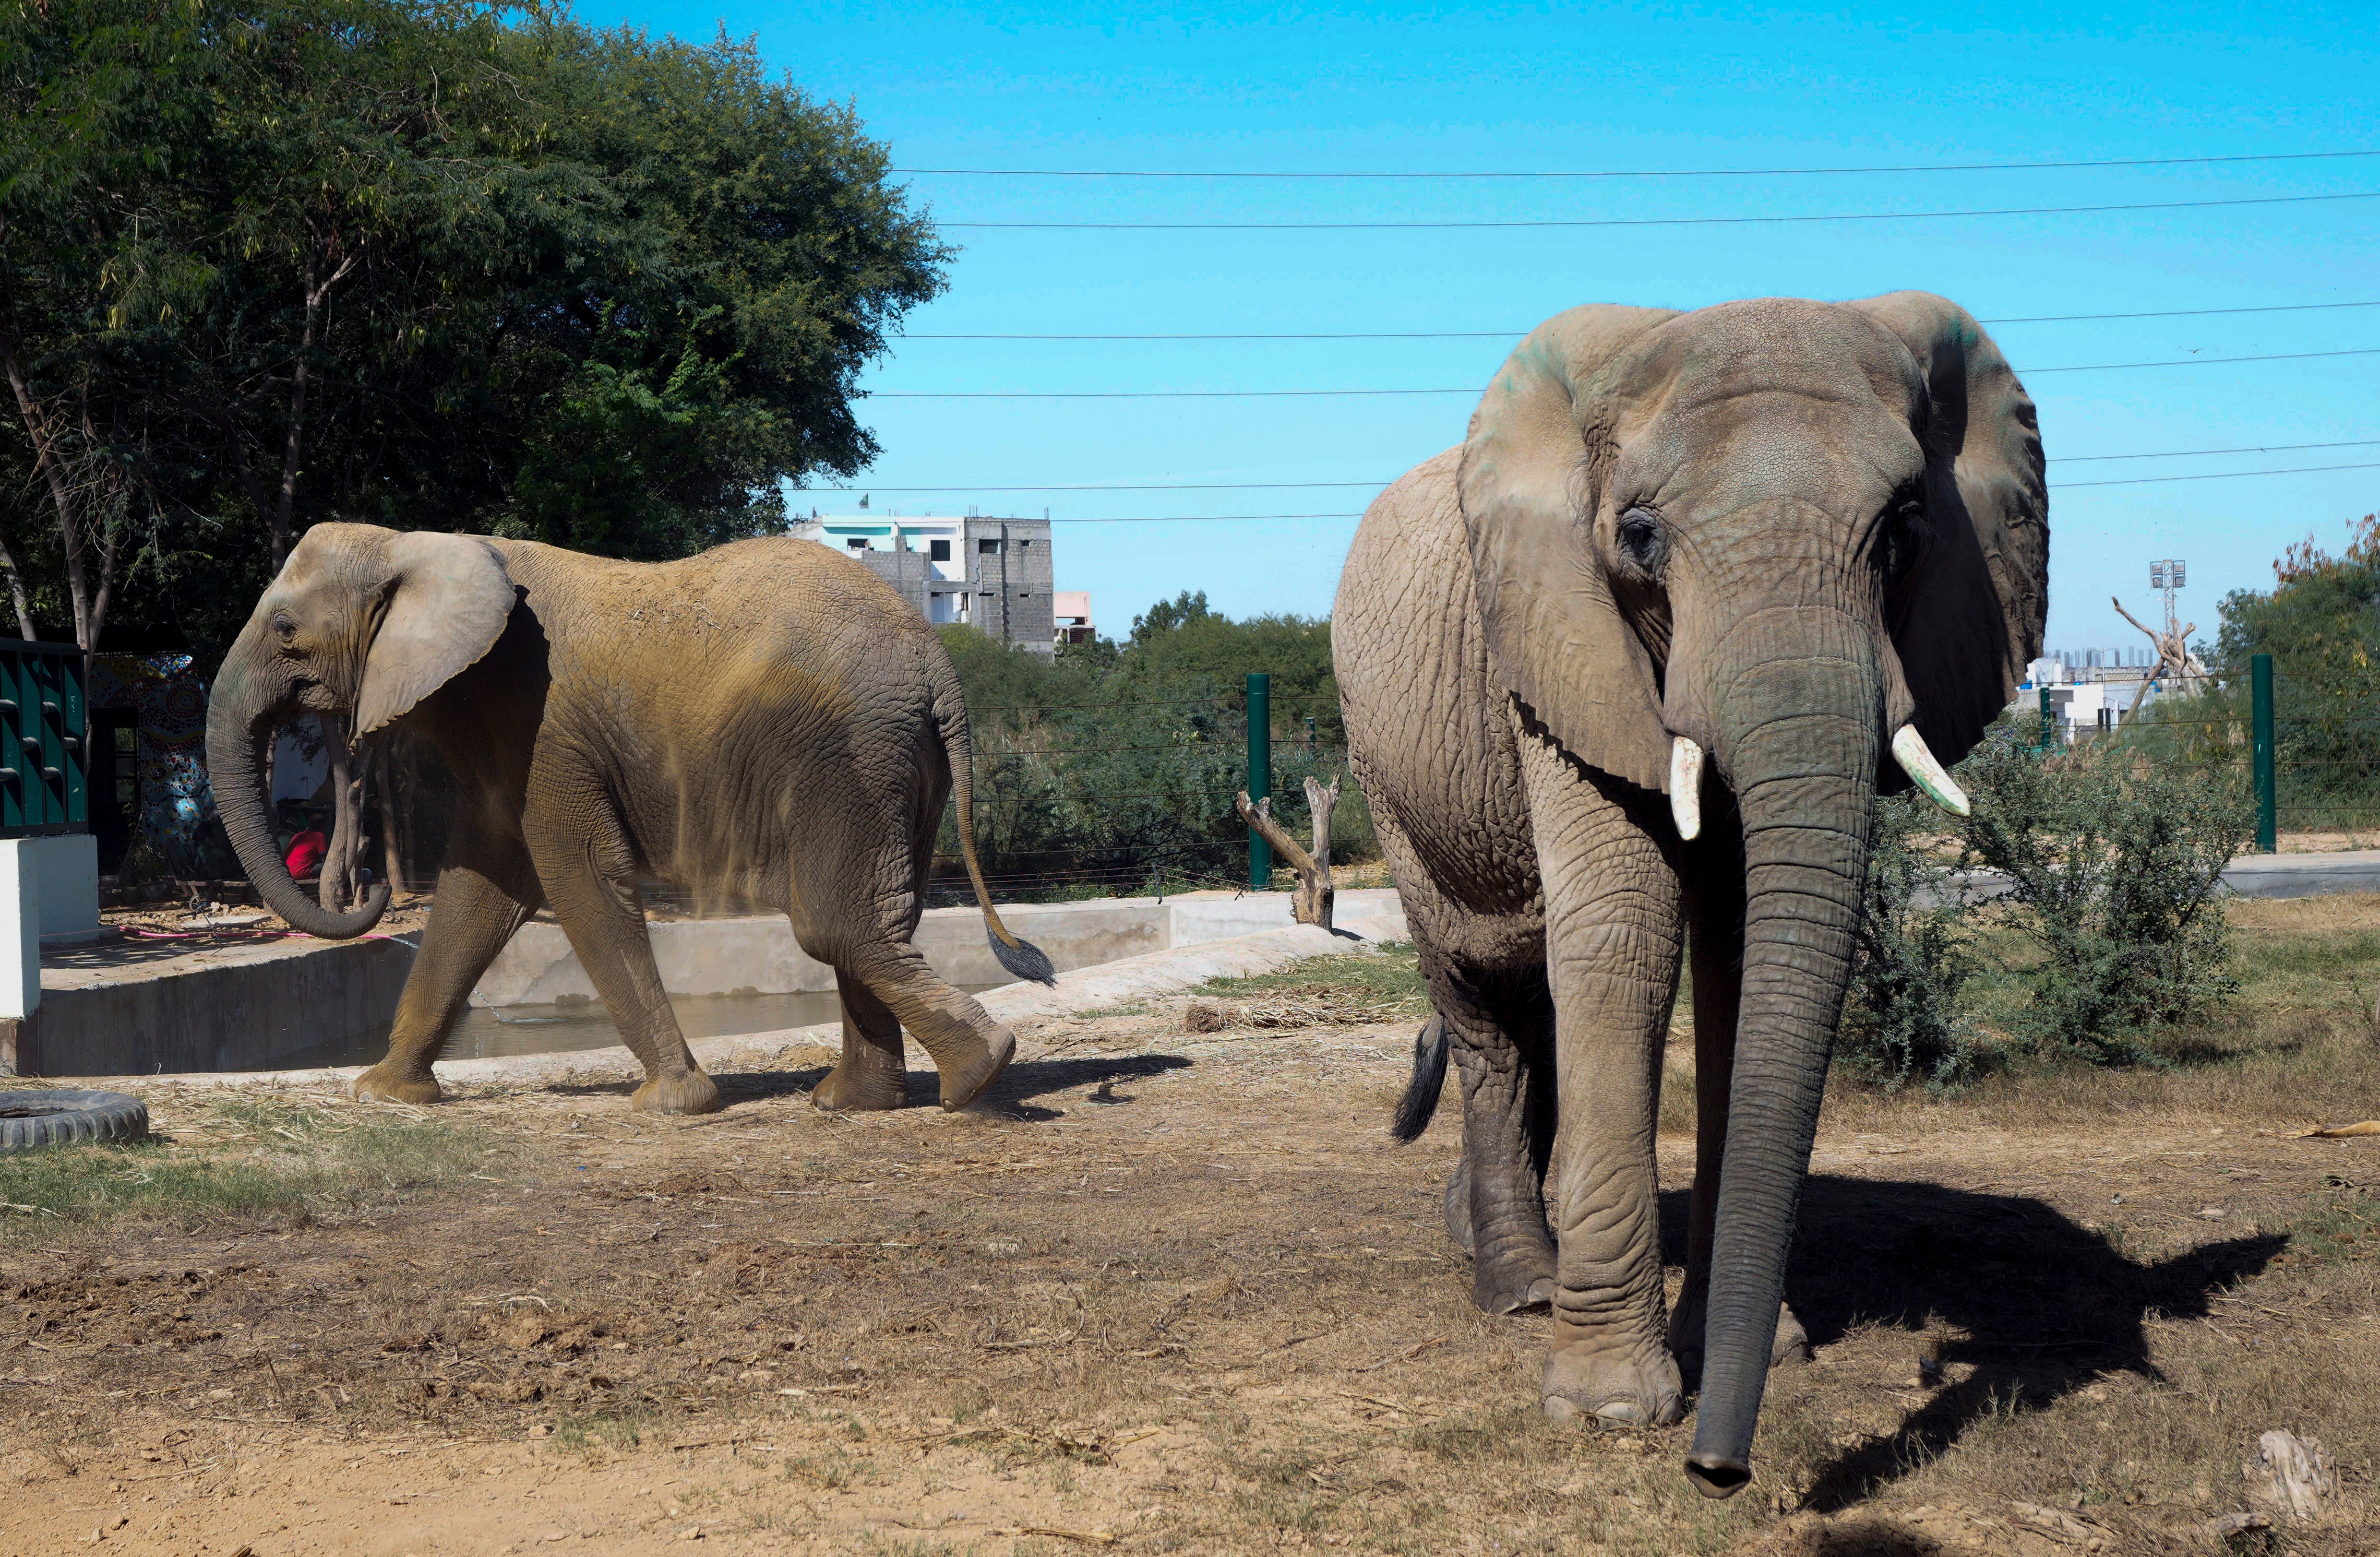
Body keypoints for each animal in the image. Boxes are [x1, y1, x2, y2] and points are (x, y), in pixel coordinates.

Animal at [205, 531, 1061, 1114]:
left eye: (285, 631)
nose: (370, 887)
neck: (418, 540)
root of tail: (939, 665)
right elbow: (482, 888)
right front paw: (386, 1093)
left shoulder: (543, 723)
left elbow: (576, 873)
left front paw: (675, 1103)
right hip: (896, 764)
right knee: (872, 919)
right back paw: (856, 1100)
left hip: (850, 754)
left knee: (834, 923)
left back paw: (977, 1074)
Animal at [1342, 293, 2047, 1504]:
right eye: (1638, 538)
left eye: (1906, 529)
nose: (1719, 1471)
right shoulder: (1560, 647)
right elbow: (1626, 932)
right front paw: (1610, 1408)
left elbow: (1735, 947)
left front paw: (1758, 1351)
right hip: (1391, 780)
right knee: (1482, 1001)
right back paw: (1519, 1286)